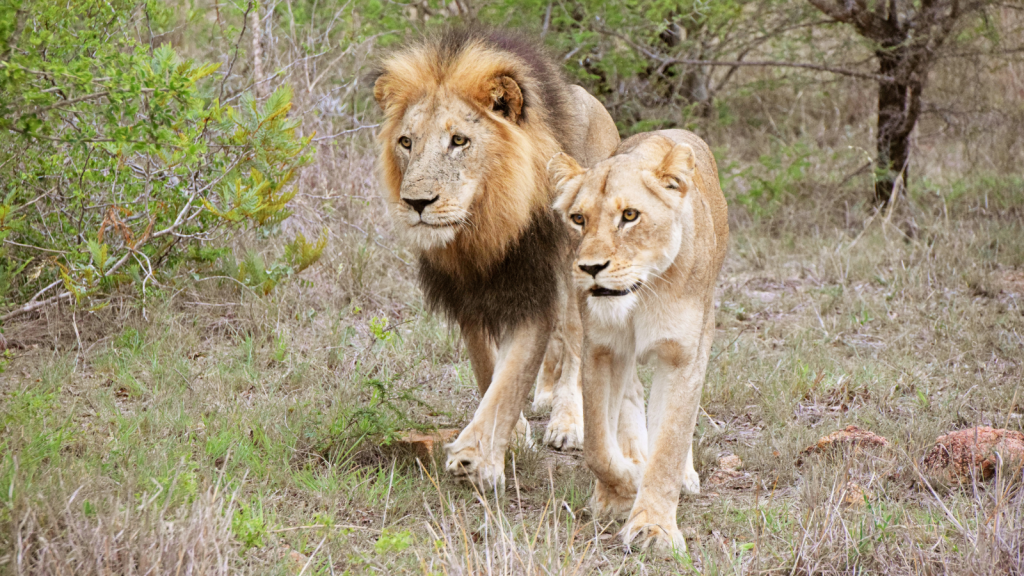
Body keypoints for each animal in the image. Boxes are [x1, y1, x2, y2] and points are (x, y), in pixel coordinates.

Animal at [374, 29, 618, 485]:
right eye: (406, 142)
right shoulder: (466, 301)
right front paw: (515, 435)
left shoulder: (536, 292)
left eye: (459, 141)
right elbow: (490, 372)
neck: (481, 231)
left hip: (578, 271)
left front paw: (476, 457)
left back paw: (567, 422)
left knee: (575, 341)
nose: (416, 203)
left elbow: (509, 378)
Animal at [552, 127, 729, 549]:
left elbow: (670, 443)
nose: (591, 268)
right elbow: (598, 445)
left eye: (629, 216)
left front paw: (653, 526)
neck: (642, 294)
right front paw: (623, 489)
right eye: (578, 219)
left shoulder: (683, 356)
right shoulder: (601, 349)